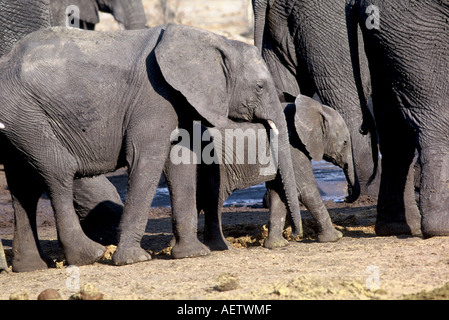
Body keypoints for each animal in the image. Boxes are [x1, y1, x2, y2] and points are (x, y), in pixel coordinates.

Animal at [0, 23, 300, 272]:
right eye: (260, 86)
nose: (294, 236)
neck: (214, 41)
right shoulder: (154, 98)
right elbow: (146, 160)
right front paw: (133, 260)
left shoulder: (178, 100)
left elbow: (181, 161)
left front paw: (193, 254)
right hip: (26, 113)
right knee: (58, 170)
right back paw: (89, 256)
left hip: (19, 121)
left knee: (23, 186)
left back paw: (31, 268)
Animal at [187, 94, 358, 251]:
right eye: (345, 143)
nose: (346, 195)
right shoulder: (293, 147)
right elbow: (306, 190)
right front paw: (335, 237)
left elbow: (279, 193)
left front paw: (276, 245)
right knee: (213, 200)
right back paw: (223, 247)